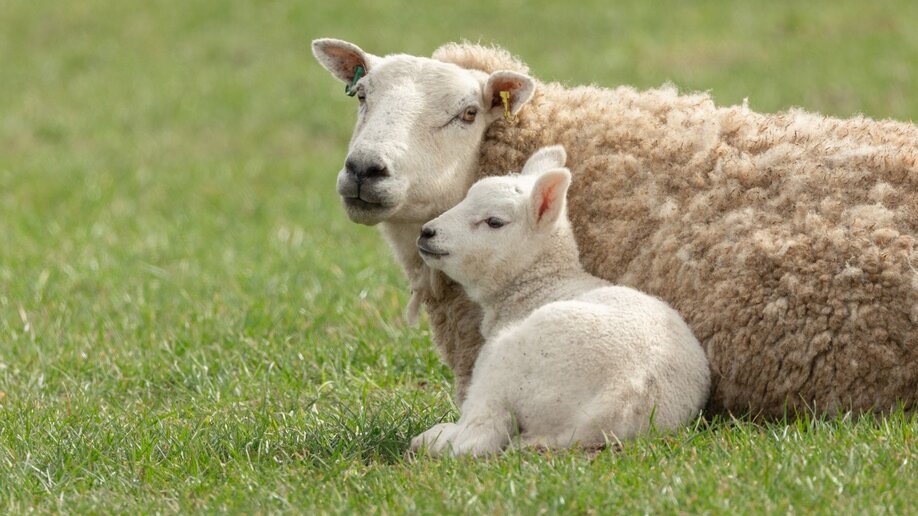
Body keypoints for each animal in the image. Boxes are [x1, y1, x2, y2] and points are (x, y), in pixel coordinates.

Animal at [409, 146, 710, 456]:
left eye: (494, 222)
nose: (427, 232)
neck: (542, 283)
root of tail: (623, 397)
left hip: (511, 362)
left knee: (478, 437)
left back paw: (432, 438)